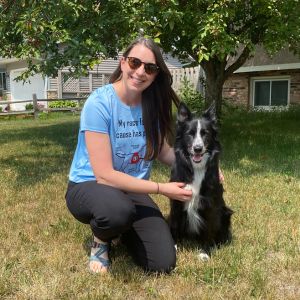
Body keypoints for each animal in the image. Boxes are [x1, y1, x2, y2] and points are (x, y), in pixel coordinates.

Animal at [169, 102, 232, 258]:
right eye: (190, 134)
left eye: (205, 133)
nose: (198, 148)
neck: (196, 168)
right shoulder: (176, 202)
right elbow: (174, 226)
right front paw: (173, 247)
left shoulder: (211, 204)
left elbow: (209, 229)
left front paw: (205, 252)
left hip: (226, 213)